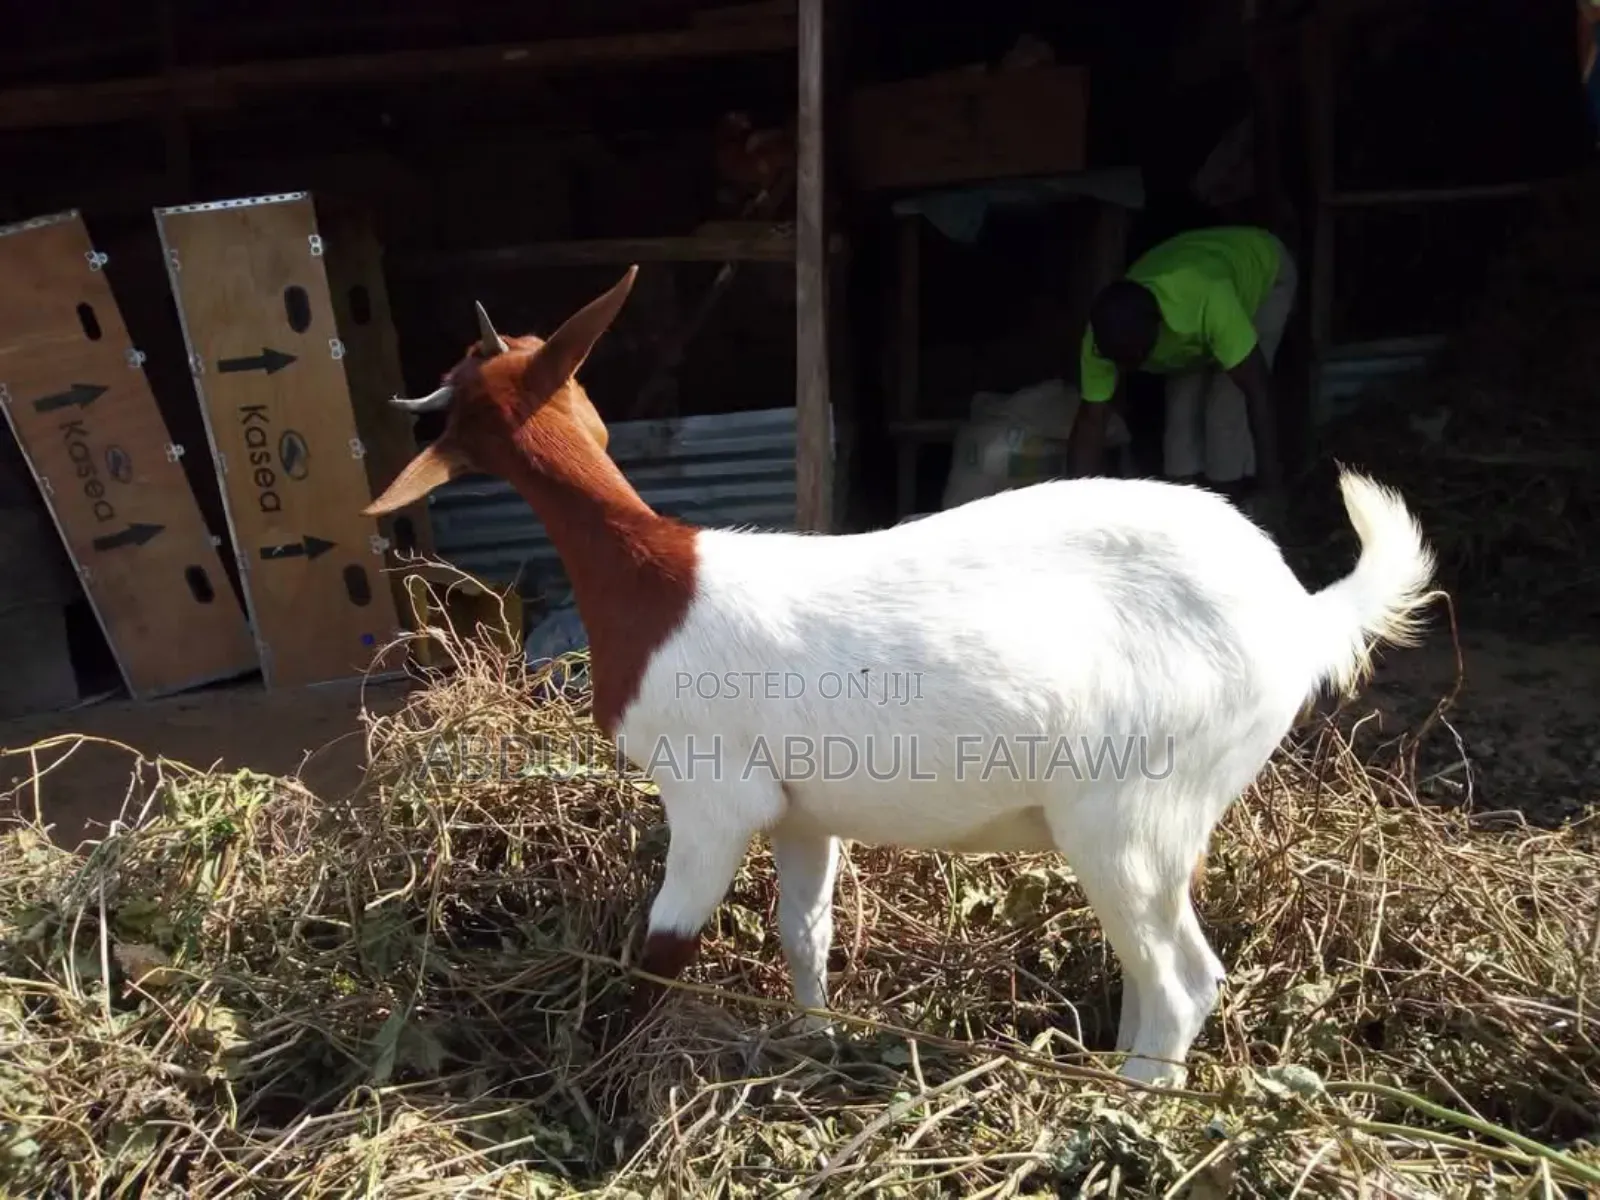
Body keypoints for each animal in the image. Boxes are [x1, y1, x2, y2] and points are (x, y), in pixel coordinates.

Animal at [363, 267, 1436, 1086]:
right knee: (1154, 963)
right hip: (1160, 824)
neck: (652, 579)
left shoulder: (711, 792)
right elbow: (805, 931)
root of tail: (1300, 616)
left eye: (461, 393)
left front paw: (600, 1076)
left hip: (1134, 804)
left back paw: (1128, 1108)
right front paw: (814, 1037)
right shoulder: (798, 811)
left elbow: (665, 946)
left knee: (1183, 980)